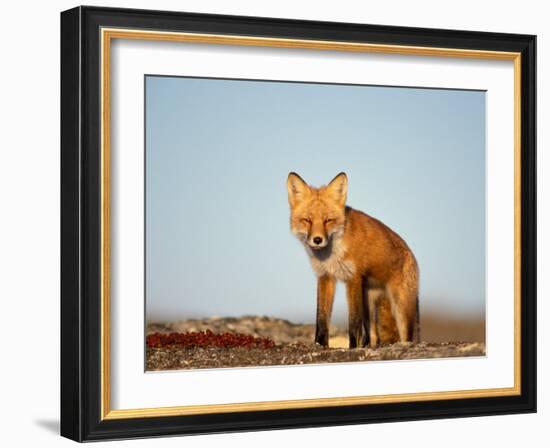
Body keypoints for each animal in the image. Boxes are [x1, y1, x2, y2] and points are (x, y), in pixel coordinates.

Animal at [286, 170, 420, 348]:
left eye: (328, 220)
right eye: (307, 220)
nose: (317, 240)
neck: (332, 254)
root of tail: (411, 253)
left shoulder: (353, 277)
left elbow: (354, 322)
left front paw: (352, 347)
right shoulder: (325, 277)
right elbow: (321, 319)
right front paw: (320, 345)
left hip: (401, 309)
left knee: (406, 336)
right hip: (369, 307)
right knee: (373, 337)